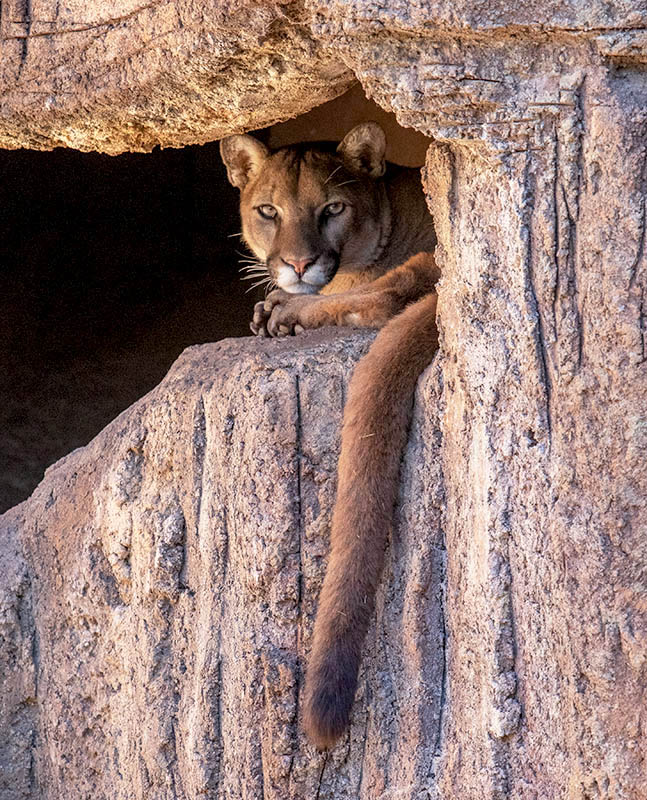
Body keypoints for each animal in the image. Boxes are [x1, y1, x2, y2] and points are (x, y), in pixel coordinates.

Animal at [221, 122, 440, 748]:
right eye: (268, 211)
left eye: (332, 209)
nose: (298, 264)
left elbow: (380, 291)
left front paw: (286, 304)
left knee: (390, 297)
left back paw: (285, 312)